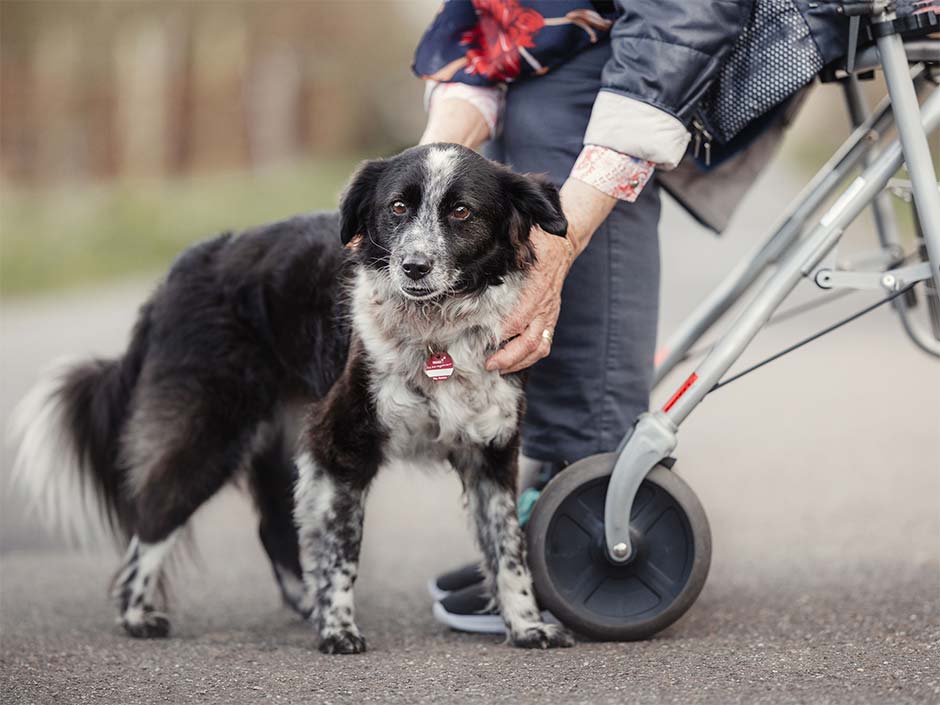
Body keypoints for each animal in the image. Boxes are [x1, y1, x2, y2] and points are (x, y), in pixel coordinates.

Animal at [11, 144, 572, 656]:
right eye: (397, 207)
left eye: (461, 212)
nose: (413, 266)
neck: (437, 333)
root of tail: (182, 270)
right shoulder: (339, 445)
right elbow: (344, 547)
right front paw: (338, 629)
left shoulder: (491, 454)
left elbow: (509, 549)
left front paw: (527, 626)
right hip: (208, 436)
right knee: (152, 515)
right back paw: (137, 614)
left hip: (278, 443)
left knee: (273, 526)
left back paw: (306, 601)